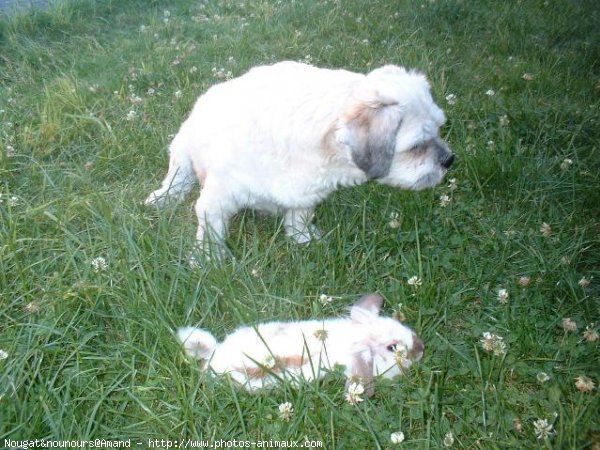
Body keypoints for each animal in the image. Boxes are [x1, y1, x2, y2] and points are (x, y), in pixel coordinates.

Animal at [146, 61, 454, 256]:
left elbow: (299, 217)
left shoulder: (306, 194)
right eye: (417, 146)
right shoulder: (217, 199)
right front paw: (207, 259)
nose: (450, 159)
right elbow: (211, 230)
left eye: (441, 127)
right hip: (182, 147)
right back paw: (164, 197)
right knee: (177, 176)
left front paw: (302, 239)